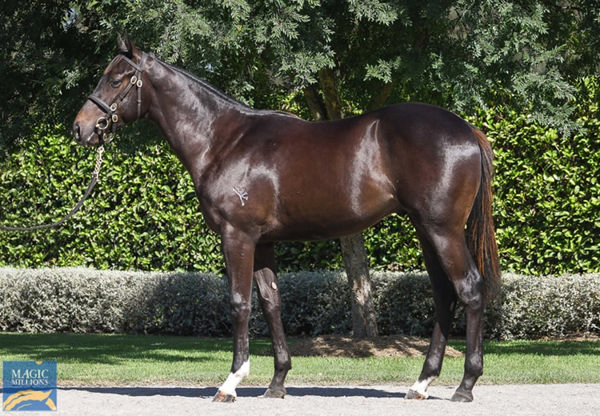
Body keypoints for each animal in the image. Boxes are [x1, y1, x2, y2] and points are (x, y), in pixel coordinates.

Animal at [72, 36, 500, 404]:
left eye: (114, 79)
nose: (81, 127)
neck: (223, 141)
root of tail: (466, 129)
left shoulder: (237, 236)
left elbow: (240, 303)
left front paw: (231, 383)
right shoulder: (263, 242)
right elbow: (271, 302)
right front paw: (277, 382)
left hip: (442, 231)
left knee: (469, 289)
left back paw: (465, 385)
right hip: (427, 231)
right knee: (444, 295)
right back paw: (422, 383)